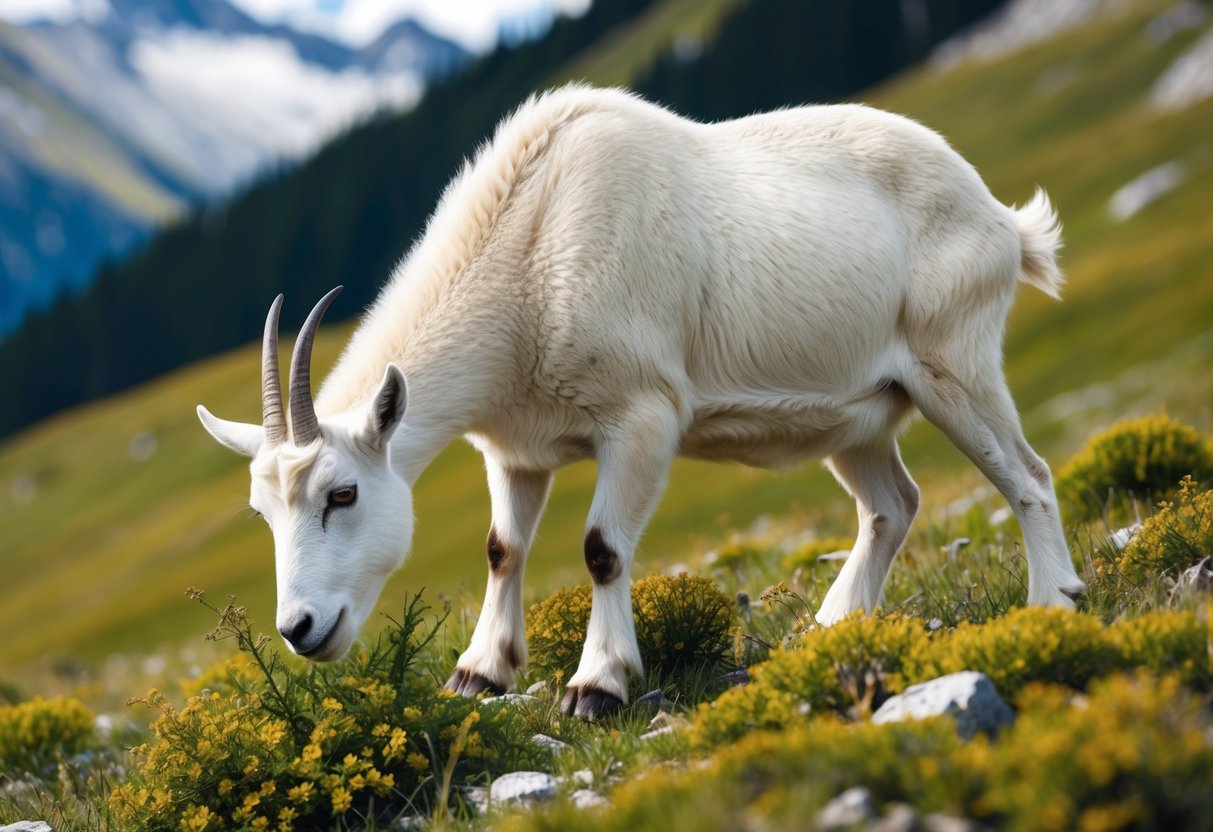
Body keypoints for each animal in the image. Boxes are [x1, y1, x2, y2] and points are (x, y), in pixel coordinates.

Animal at [196, 87, 1081, 717]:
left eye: (342, 493)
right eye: (262, 512)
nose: (300, 630)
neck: (532, 244)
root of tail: (1002, 221)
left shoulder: (641, 417)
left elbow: (601, 550)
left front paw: (597, 686)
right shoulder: (514, 449)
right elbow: (502, 548)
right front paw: (478, 674)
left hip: (953, 362)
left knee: (1028, 475)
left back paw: (1051, 603)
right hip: (858, 412)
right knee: (891, 504)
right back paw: (832, 627)